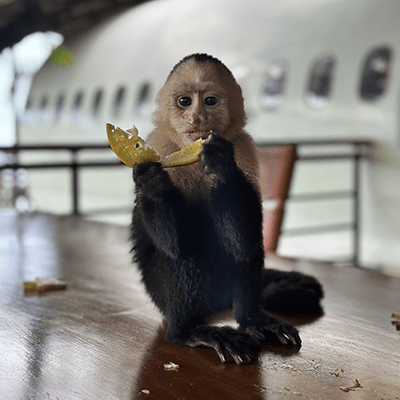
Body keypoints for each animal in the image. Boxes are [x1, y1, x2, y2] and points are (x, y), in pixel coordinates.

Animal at [130, 54, 324, 366]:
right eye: (184, 101)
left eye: (210, 101)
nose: (196, 117)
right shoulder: (160, 148)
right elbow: (175, 244)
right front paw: (152, 184)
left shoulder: (243, 148)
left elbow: (244, 237)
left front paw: (221, 165)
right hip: (161, 297)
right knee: (187, 253)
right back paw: (187, 331)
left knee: (245, 249)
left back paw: (252, 318)